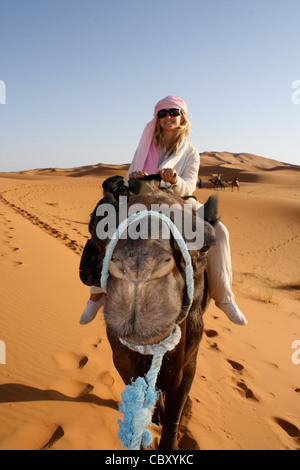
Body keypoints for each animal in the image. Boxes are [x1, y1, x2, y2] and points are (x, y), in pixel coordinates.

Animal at [95, 186, 219, 448]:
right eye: (100, 240)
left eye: (205, 246)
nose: (138, 266)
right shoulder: (121, 361)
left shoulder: (190, 365)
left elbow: (174, 416)